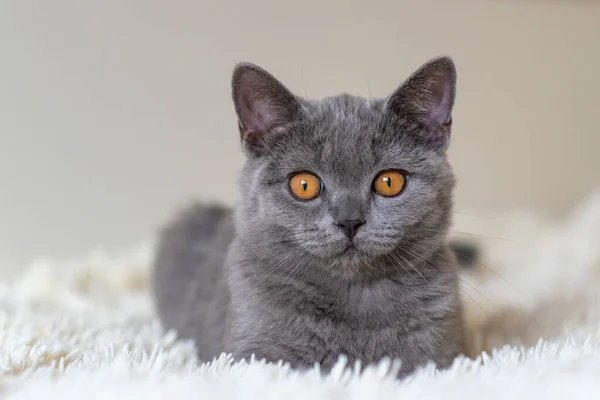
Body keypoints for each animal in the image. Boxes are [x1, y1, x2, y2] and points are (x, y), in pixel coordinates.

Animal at [152, 57, 466, 378]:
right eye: (304, 185)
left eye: (390, 182)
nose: (349, 221)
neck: (355, 295)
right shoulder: (255, 354)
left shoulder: (439, 355)